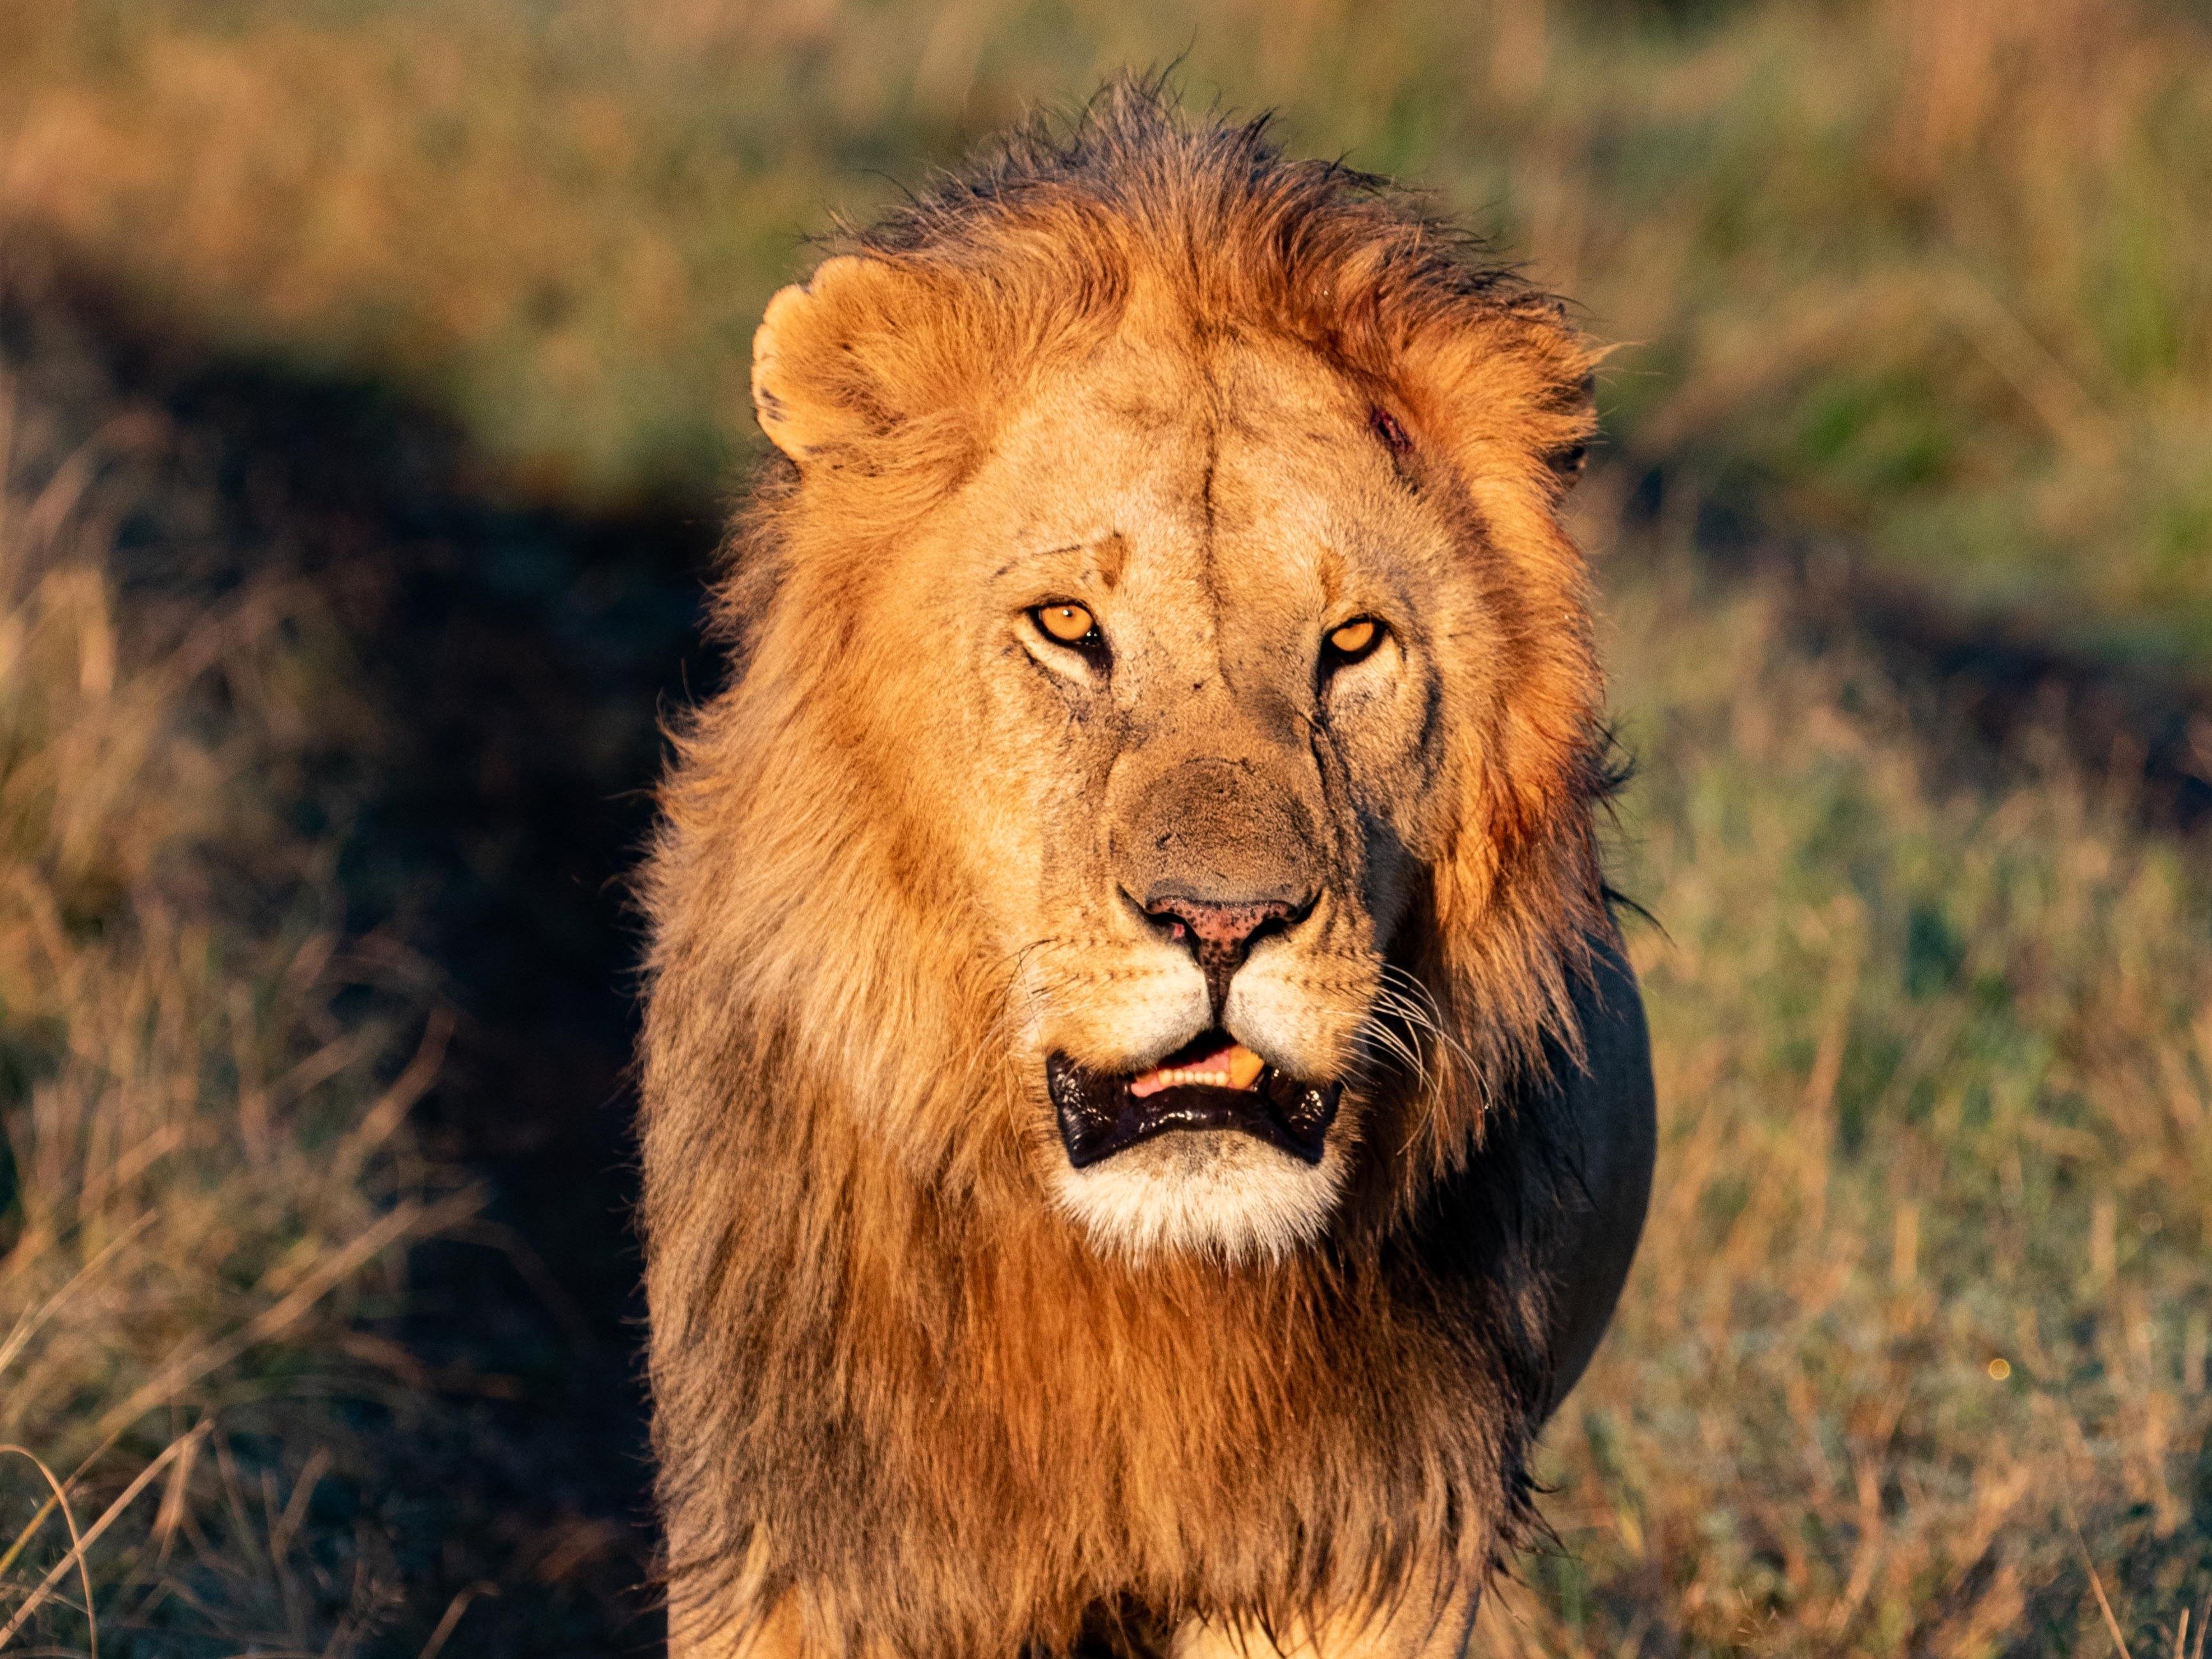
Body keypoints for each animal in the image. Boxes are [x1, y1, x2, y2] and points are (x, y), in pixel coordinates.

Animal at [638, 84, 1656, 1659]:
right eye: (1068, 625)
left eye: (1352, 643)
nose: (1223, 921)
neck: (1136, 1299)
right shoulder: (802, 1547)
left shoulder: (1359, 1555)